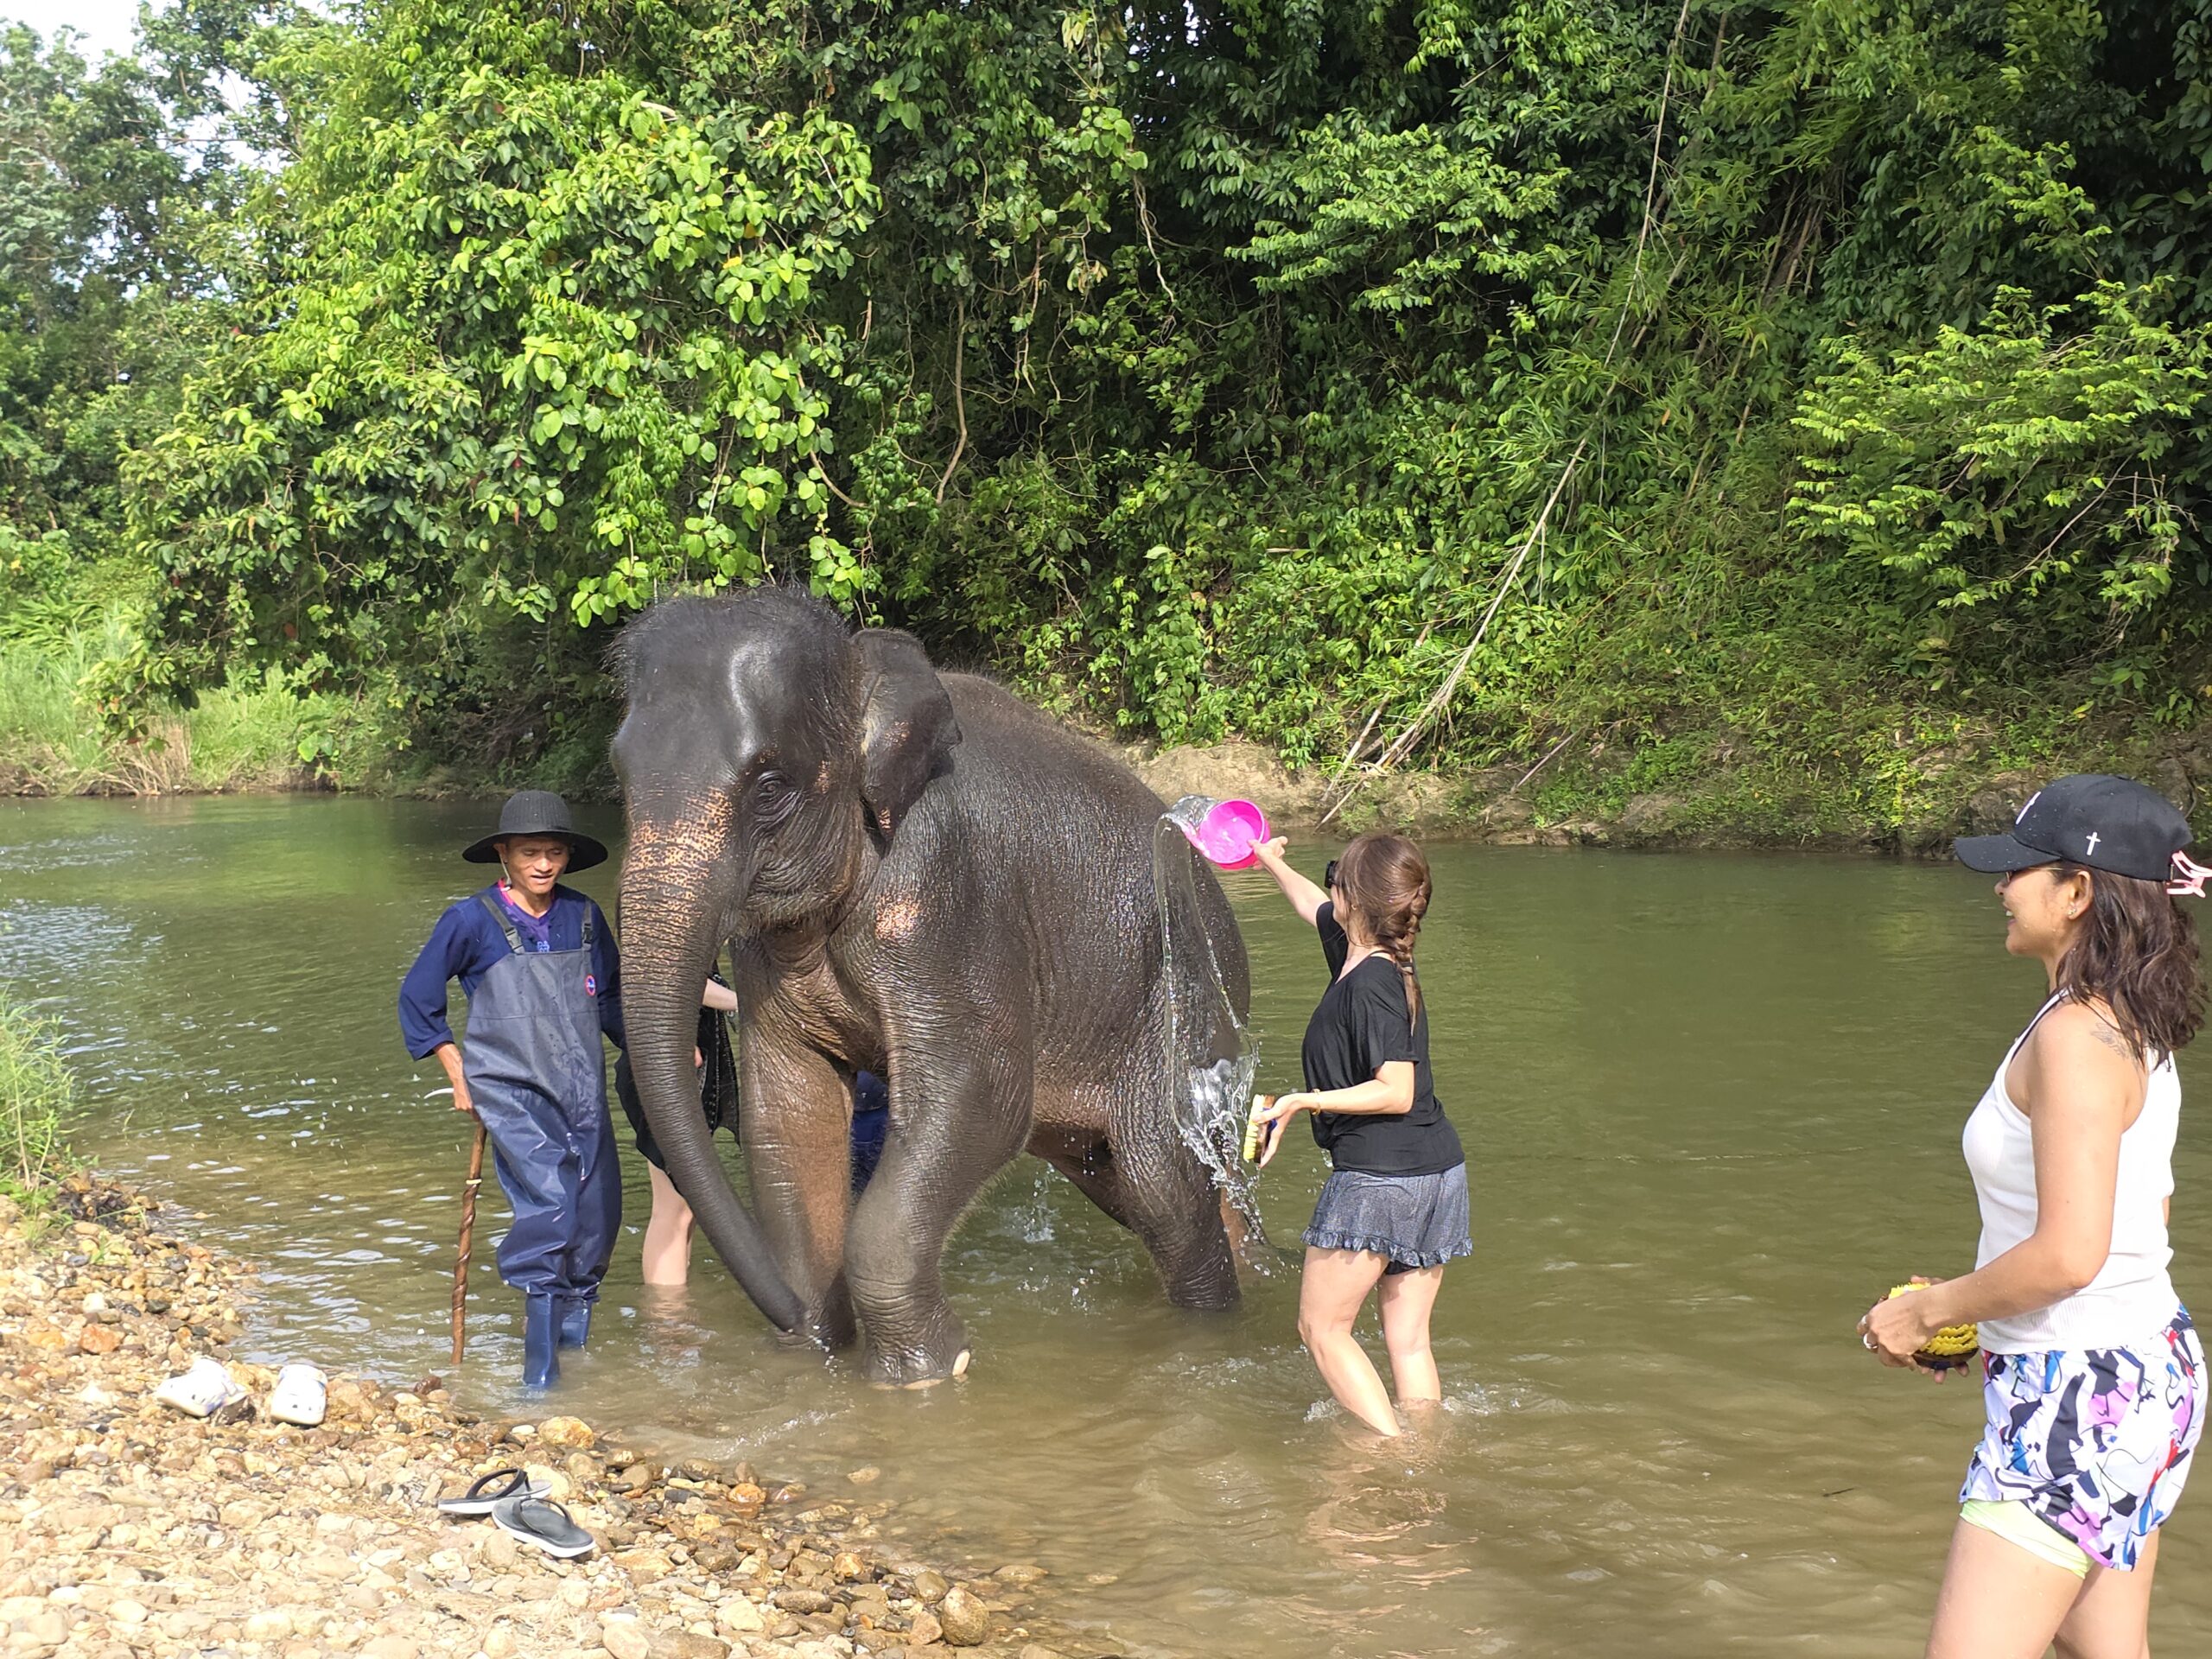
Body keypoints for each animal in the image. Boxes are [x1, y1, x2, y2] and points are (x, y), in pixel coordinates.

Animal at [611, 587, 1250, 1385]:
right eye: (619, 776)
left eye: (770, 787)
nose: (793, 1321)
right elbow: (791, 1109)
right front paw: (820, 1353)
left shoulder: (949, 890)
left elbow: (981, 1094)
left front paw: (929, 1371)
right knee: (1128, 1185)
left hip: (1180, 1005)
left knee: (1159, 1184)